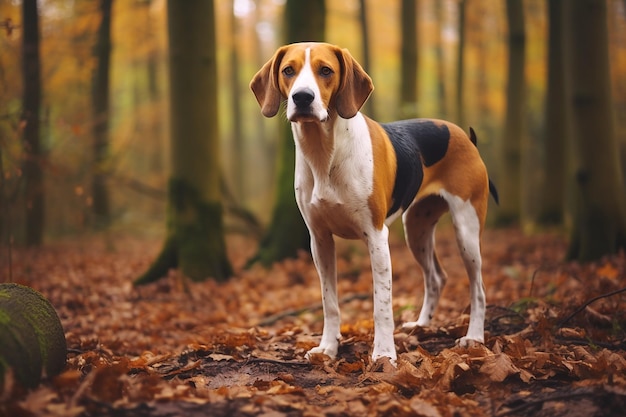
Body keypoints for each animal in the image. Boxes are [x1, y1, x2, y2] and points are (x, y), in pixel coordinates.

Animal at [249, 42, 498, 364]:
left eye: (325, 70)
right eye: (288, 71)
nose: (302, 97)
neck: (324, 153)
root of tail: (464, 136)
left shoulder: (377, 237)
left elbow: (382, 306)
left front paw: (383, 354)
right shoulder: (320, 240)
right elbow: (330, 303)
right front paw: (328, 348)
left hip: (466, 230)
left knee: (478, 288)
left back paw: (474, 338)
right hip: (416, 229)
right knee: (436, 277)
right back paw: (421, 325)